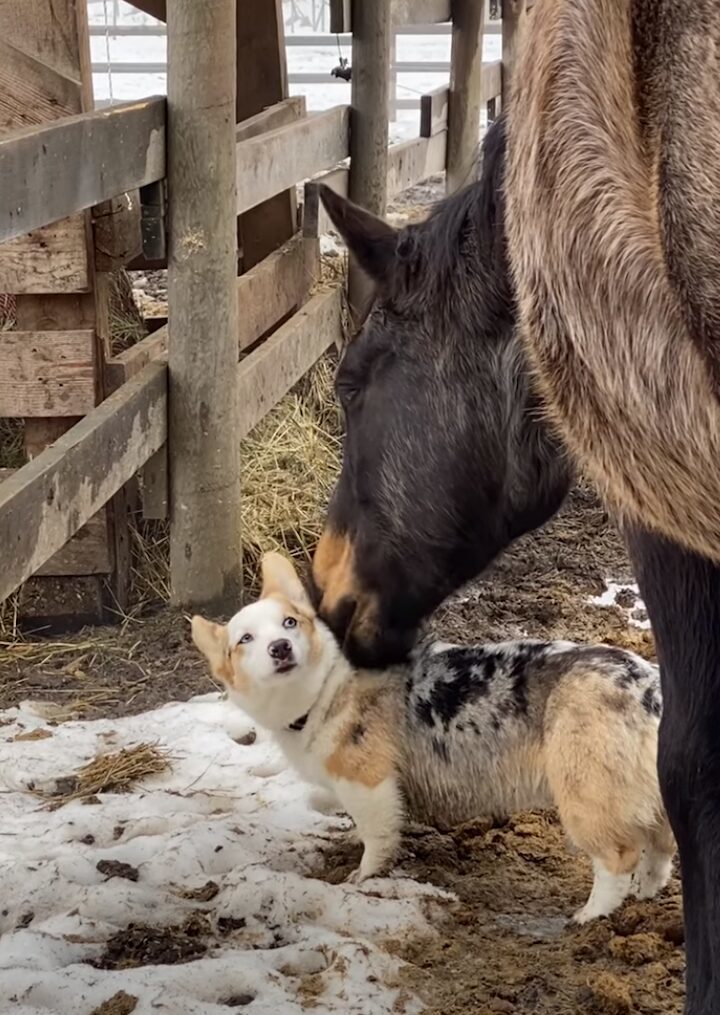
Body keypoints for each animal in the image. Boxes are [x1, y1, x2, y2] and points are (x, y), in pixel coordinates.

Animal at [190, 552, 674, 925]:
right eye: (244, 639)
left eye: (290, 622)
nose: (280, 649)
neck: (322, 689)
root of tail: (648, 688)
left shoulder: (369, 783)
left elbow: (378, 837)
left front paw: (360, 878)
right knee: (659, 850)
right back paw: (645, 895)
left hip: (585, 793)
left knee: (619, 858)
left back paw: (591, 915)